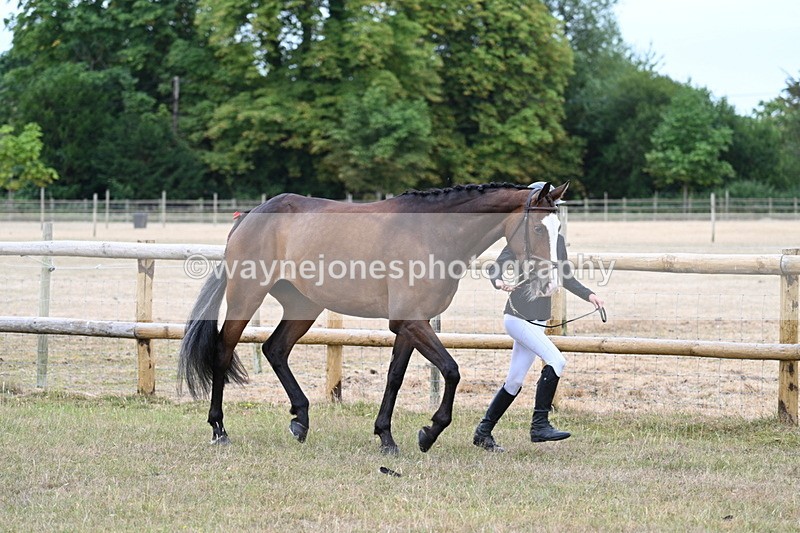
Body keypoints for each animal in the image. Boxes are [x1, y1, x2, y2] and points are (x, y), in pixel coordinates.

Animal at [178, 181, 569, 454]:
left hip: (304, 306)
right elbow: (452, 371)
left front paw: (386, 437)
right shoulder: (412, 322)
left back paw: (300, 420)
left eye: (558, 230)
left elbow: (395, 378)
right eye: (538, 229)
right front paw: (429, 433)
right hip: (246, 297)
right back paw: (219, 429)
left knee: (275, 350)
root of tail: (252, 215)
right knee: (223, 352)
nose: (549, 281)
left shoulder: (409, 326)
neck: (433, 234)